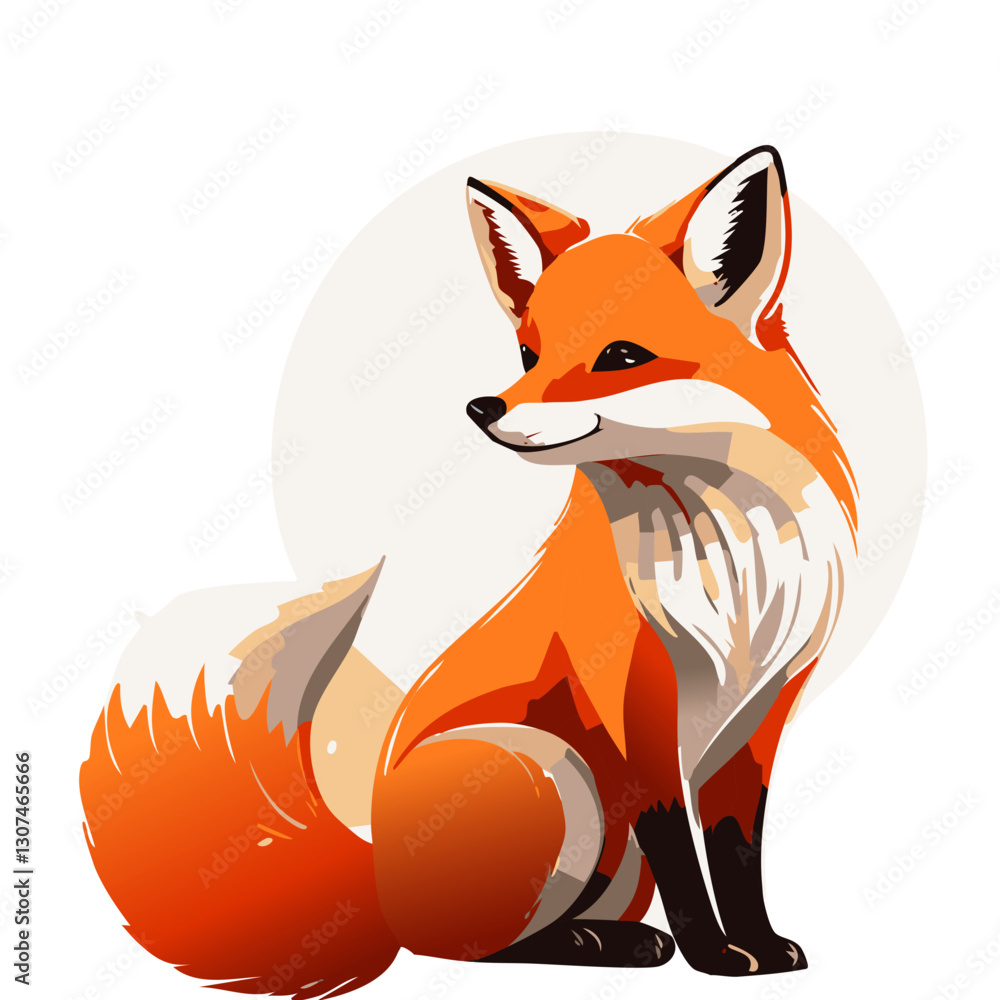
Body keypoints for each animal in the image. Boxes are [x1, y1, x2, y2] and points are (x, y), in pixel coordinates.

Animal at [80, 145, 858, 998]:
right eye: (527, 354)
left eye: (620, 357)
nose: (485, 407)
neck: (732, 576)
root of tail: (377, 878)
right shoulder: (628, 714)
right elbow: (685, 861)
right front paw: (715, 956)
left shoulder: (758, 721)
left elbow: (737, 852)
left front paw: (759, 946)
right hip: (552, 768)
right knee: (462, 947)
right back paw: (591, 945)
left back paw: (613, 941)